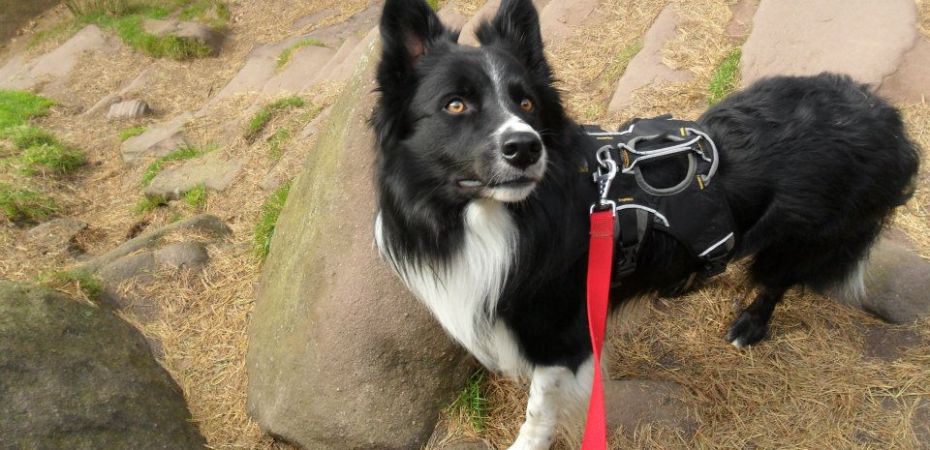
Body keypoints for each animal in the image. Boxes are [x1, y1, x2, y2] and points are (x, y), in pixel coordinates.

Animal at [371, 0, 921, 448]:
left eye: (526, 103)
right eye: (455, 104)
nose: (526, 147)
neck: (498, 218)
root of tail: (887, 118)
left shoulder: (564, 336)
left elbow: (538, 411)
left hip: (803, 239)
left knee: (777, 280)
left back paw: (750, 323)